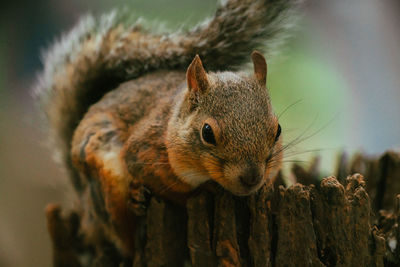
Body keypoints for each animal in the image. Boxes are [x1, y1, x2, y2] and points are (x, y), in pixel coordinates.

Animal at [36, 0, 302, 260]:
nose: (251, 178)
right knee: (123, 238)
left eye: (277, 130)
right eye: (207, 132)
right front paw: (206, 189)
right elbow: (176, 190)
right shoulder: (145, 151)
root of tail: (83, 204)